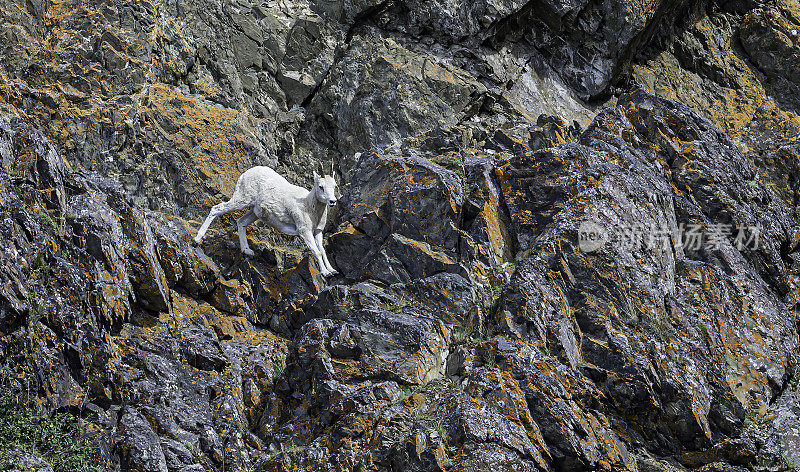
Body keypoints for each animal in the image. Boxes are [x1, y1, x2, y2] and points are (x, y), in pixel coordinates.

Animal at [197, 167, 340, 276]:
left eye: (334, 186)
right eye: (321, 186)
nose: (332, 201)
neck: (308, 204)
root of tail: (245, 174)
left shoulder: (317, 232)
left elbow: (322, 250)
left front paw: (332, 270)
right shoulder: (305, 232)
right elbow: (317, 252)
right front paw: (325, 273)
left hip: (254, 212)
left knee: (241, 222)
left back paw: (247, 251)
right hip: (241, 201)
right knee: (217, 209)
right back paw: (197, 239)